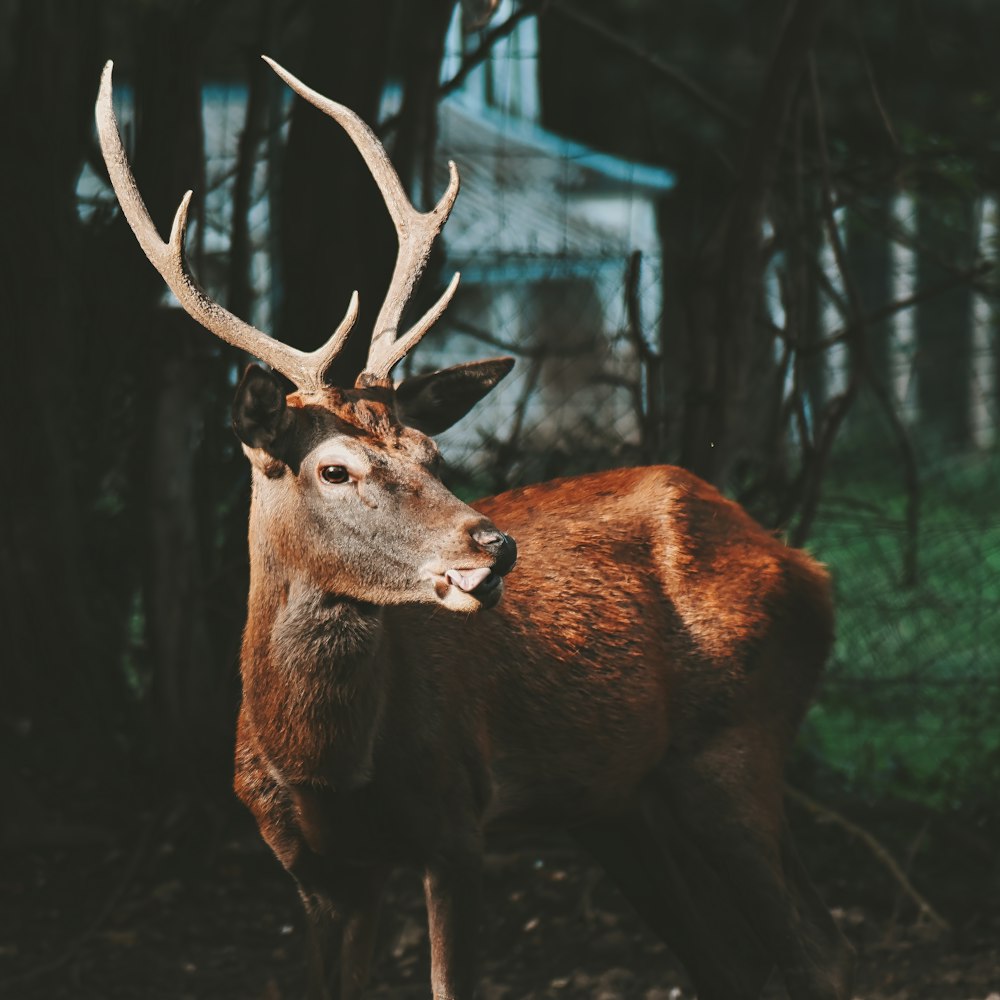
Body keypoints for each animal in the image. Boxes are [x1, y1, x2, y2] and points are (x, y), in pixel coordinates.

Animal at [97, 56, 856, 1000]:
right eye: (334, 468)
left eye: (432, 450)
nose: (494, 545)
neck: (324, 763)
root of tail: (807, 566)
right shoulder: (312, 869)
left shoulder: (456, 821)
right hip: (624, 802)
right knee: (732, 961)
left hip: (736, 744)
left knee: (818, 953)